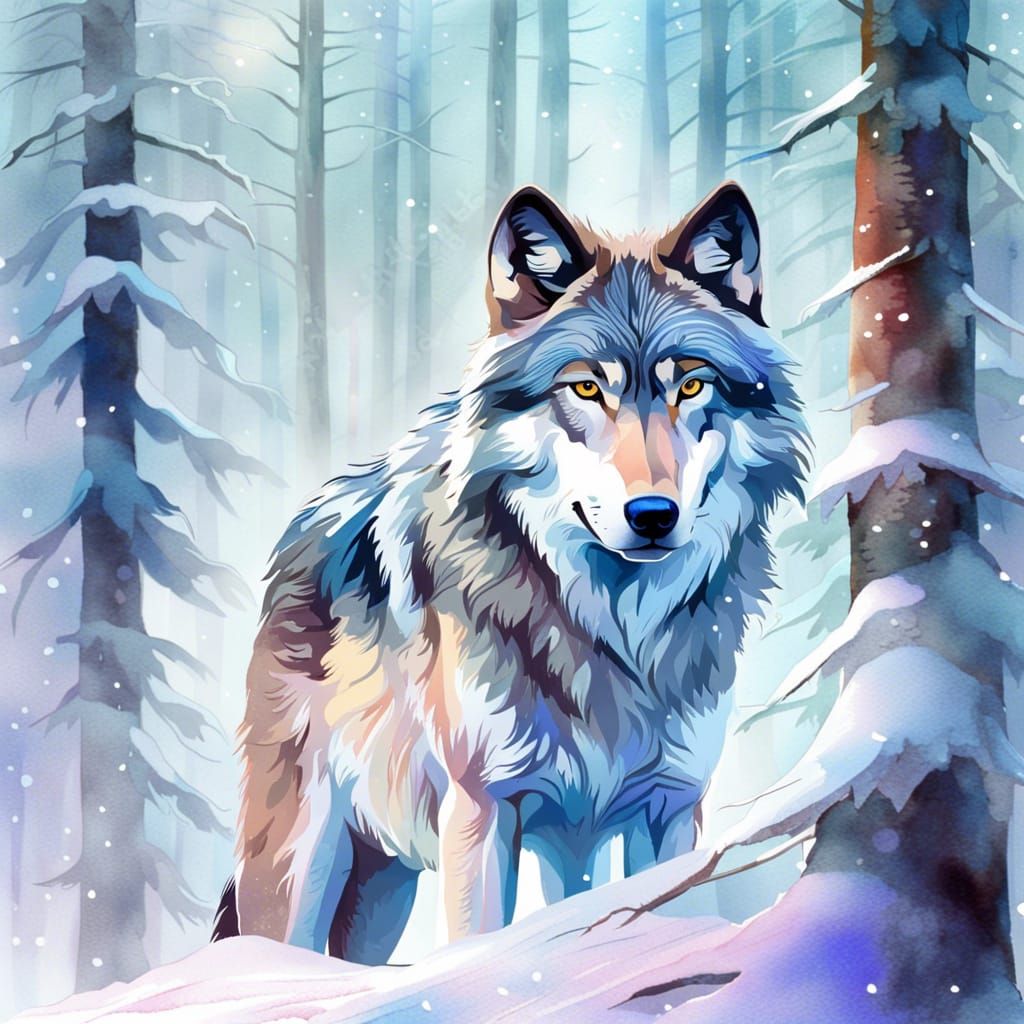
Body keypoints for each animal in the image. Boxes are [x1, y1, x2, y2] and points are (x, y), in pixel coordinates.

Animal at [212, 181, 808, 963]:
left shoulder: (669, 809)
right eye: (584, 390)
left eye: (692, 387)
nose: (653, 514)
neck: (615, 631)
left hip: (393, 890)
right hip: (302, 866)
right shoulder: (484, 808)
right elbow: (478, 943)